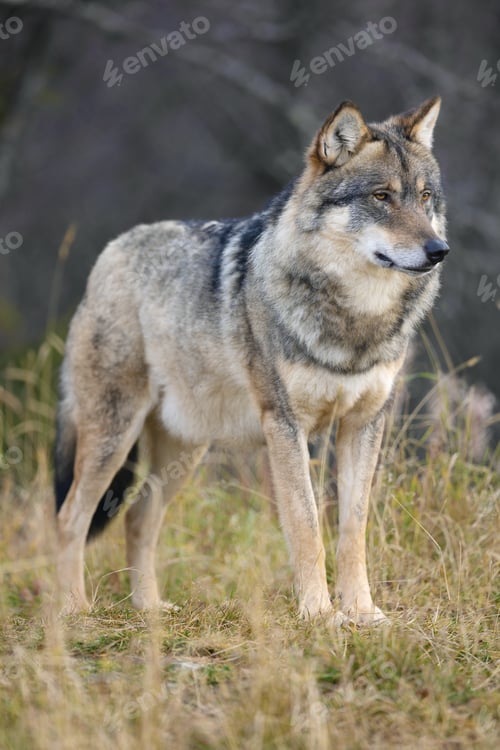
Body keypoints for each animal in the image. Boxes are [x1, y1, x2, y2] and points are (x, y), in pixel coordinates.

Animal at [54, 97, 448, 624]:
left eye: (425, 197)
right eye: (382, 196)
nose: (438, 250)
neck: (355, 321)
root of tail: (111, 250)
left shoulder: (364, 424)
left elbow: (353, 531)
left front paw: (363, 614)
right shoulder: (284, 425)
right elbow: (306, 524)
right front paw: (319, 614)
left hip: (183, 450)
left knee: (137, 516)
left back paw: (150, 608)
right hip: (114, 436)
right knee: (70, 517)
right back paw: (74, 610)